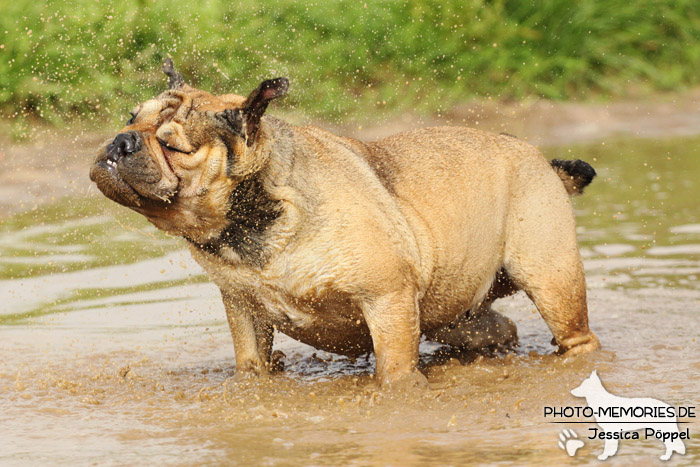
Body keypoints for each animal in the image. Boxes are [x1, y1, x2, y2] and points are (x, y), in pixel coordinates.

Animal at [90, 59, 600, 388]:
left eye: (173, 146)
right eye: (130, 119)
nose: (120, 141)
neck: (252, 218)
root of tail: (540, 158)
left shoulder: (387, 299)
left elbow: (394, 373)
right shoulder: (244, 308)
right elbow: (251, 366)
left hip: (551, 279)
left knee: (576, 334)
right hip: (453, 311)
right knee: (495, 329)